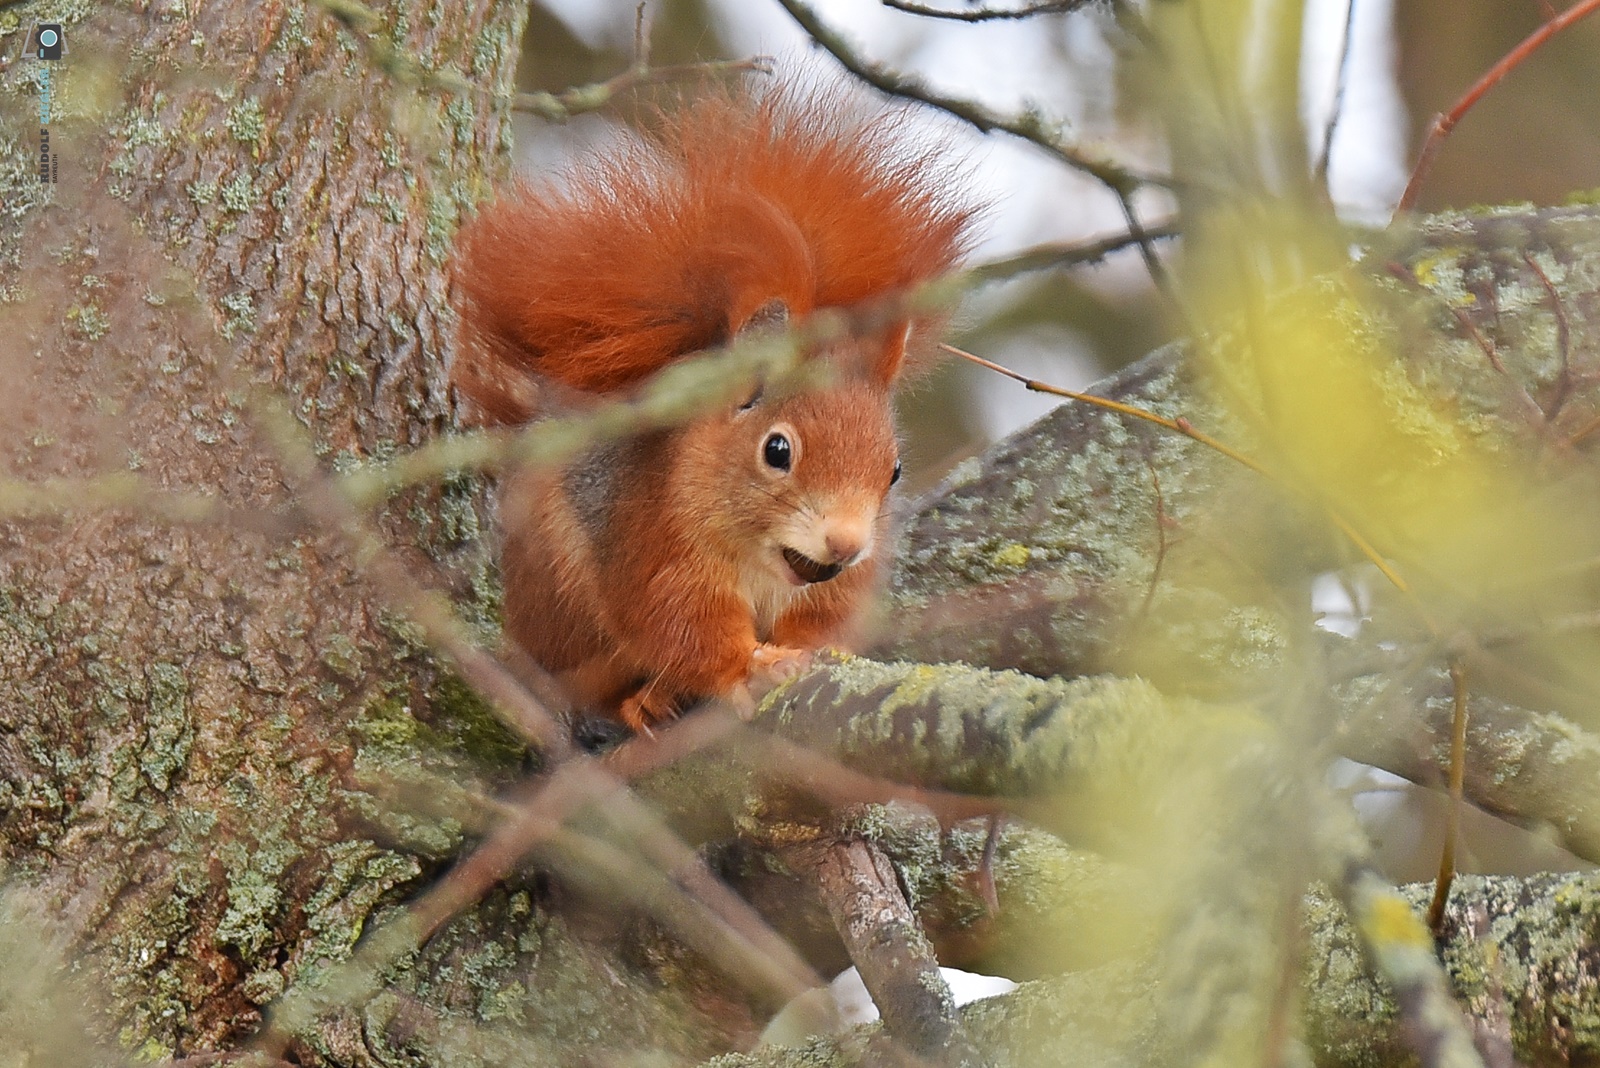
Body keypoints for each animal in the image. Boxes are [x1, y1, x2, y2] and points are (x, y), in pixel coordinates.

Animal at [451, 83, 972, 735]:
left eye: (895, 469)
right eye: (777, 450)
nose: (846, 544)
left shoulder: (835, 587)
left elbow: (824, 618)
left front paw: (815, 650)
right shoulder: (655, 549)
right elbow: (683, 629)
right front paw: (750, 667)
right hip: (559, 605)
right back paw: (641, 701)